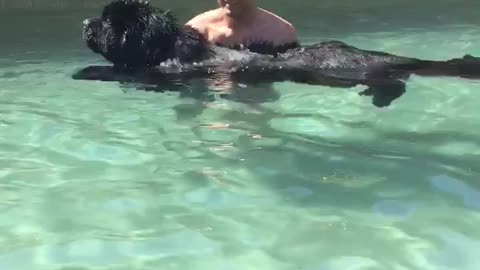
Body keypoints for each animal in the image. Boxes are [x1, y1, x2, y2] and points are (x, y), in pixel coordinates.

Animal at [74, 0, 480, 107]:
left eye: (108, 23)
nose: (84, 21)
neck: (165, 45)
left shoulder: (158, 72)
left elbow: (119, 69)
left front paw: (83, 72)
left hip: (345, 76)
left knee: (394, 82)